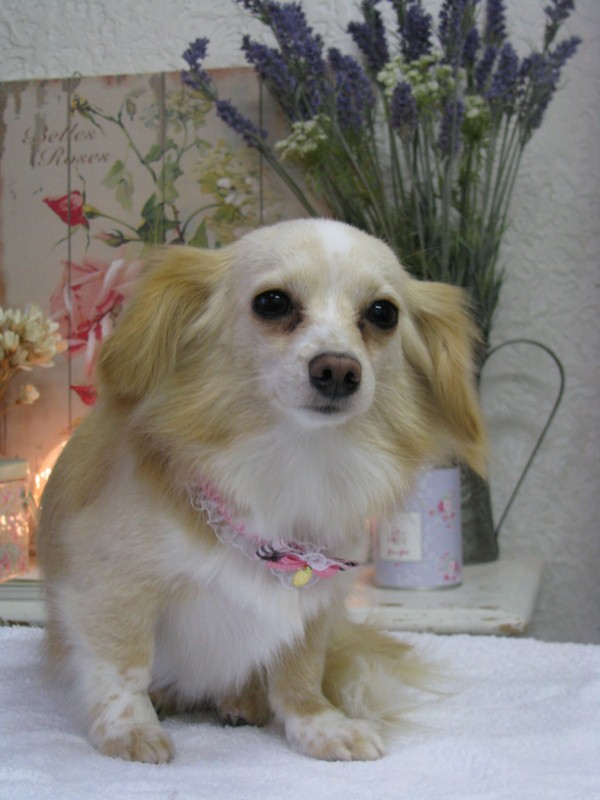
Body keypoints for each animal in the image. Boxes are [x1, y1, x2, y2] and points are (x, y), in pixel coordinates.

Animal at [38, 218, 486, 764]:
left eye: (383, 313)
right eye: (272, 303)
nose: (338, 369)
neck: (298, 460)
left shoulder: (314, 608)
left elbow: (300, 676)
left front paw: (321, 726)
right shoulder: (112, 586)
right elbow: (123, 665)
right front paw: (129, 729)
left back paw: (241, 701)